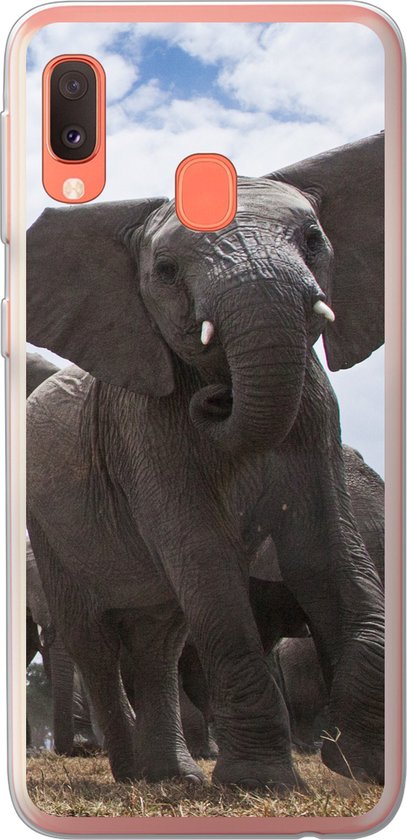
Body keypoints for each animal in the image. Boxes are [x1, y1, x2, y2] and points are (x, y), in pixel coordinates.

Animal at [26, 133, 384, 789]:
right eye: (166, 271)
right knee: (94, 640)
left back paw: (173, 778)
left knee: (160, 640)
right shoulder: (143, 429)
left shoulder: (316, 411)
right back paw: (132, 776)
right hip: (49, 529)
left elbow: (324, 547)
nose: (217, 397)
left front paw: (360, 766)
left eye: (313, 238)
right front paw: (259, 783)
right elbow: (205, 558)